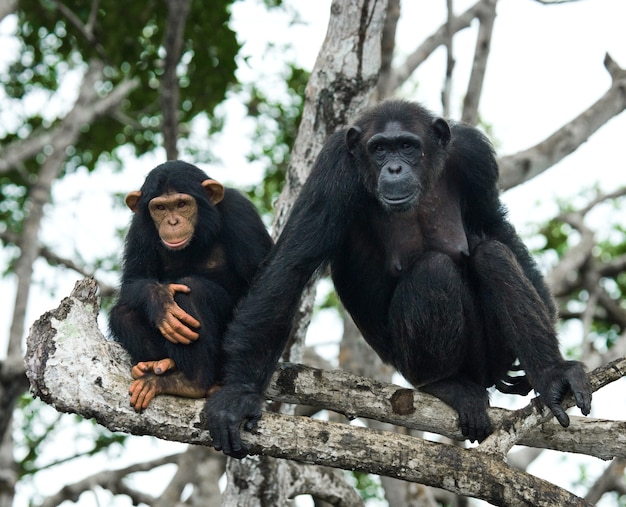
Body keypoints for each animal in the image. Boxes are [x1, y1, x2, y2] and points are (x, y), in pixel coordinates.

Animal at [108, 161, 272, 410]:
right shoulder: (139, 228)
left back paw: (190, 382)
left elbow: (263, 282)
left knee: (191, 290)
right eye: (160, 208)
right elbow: (132, 280)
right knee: (124, 312)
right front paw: (160, 300)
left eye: (182, 204)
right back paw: (162, 365)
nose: (172, 222)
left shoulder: (240, 212)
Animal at [207, 101, 592, 458]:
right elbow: (291, 265)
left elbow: (494, 223)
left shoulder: (475, 156)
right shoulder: (334, 169)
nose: (394, 167)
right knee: (434, 270)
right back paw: (446, 383)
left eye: (407, 146)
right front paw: (238, 396)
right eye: (379, 149)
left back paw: (552, 375)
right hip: (415, 365)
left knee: (492, 255)